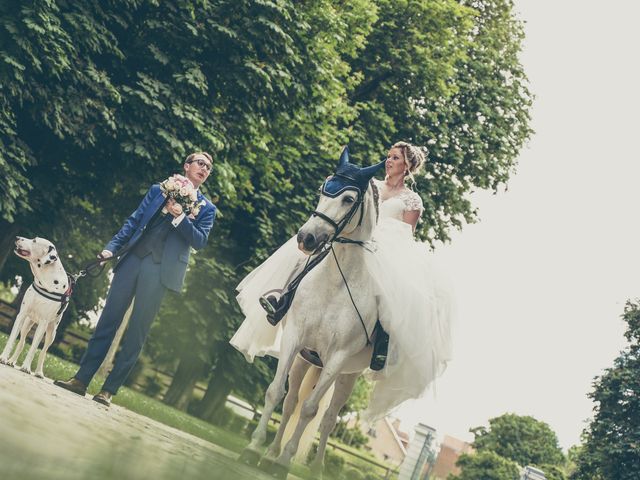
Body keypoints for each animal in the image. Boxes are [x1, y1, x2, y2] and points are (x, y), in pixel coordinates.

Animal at [0, 237, 70, 378]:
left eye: (34, 241)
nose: (17, 237)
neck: (45, 282)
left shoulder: (43, 324)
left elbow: (33, 348)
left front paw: (26, 367)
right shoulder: (21, 315)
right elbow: (11, 339)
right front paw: (3, 357)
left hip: (51, 333)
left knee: (43, 351)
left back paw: (38, 372)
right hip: (26, 324)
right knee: (21, 343)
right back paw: (11, 361)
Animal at [239, 149, 382, 476]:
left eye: (348, 199)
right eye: (322, 189)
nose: (306, 239)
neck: (334, 283)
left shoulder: (337, 358)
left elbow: (311, 409)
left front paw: (284, 461)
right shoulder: (294, 338)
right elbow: (276, 393)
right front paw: (254, 449)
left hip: (347, 375)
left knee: (328, 418)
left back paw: (314, 468)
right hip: (304, 360)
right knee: (291, 401)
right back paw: (271, 452)